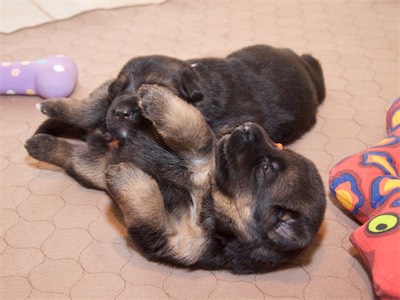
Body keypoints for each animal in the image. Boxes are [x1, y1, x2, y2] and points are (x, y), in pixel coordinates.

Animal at [24, 84, 324, 274]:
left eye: (265, 169)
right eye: (277, 146)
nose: (248, 126)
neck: (208, 196)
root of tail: (101, 138)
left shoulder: (167, 239)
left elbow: (149, 207)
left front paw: (126, 176)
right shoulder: (199, 154)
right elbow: (193, 126)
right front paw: (156, 97)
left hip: (90, 167)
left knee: (71, 153)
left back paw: (41, 143)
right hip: (104, 112)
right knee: (87, 107)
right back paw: (50, 106)